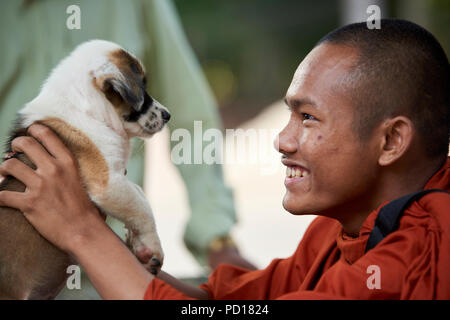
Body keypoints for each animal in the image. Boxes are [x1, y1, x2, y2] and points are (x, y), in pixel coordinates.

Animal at [0, 40, 169, 300]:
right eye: (142, 88)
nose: (167, 115)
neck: (86, 110)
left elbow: (139, 194)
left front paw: (139, 244)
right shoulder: (107, 183)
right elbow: (142, 208)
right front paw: (152, 246)